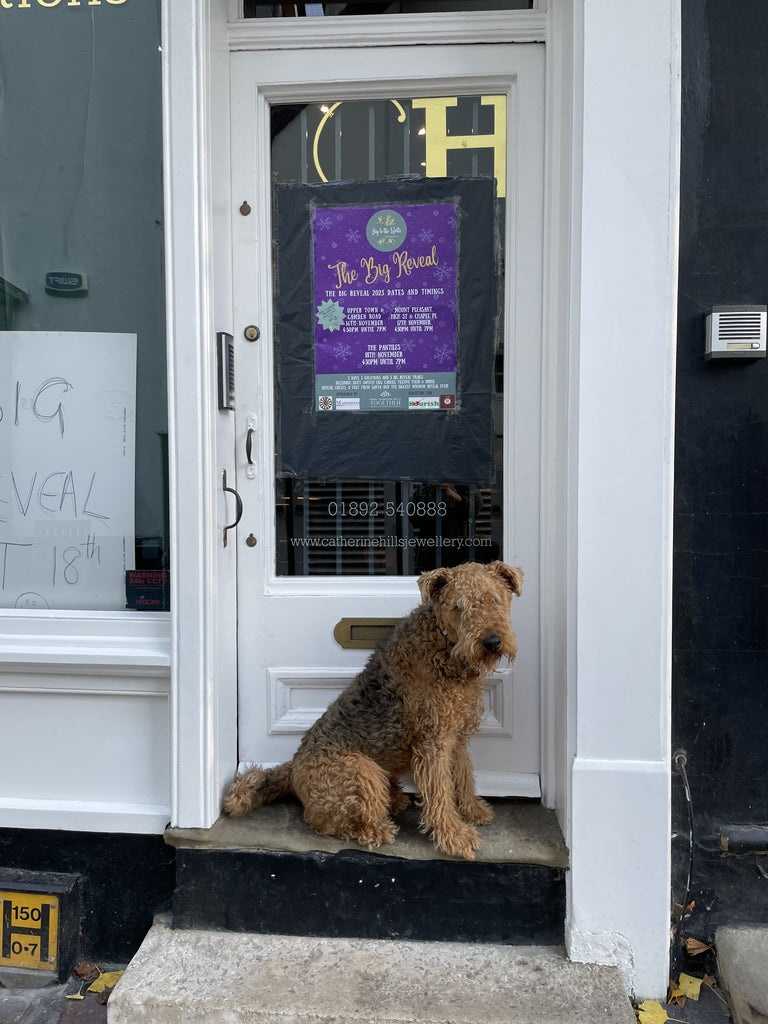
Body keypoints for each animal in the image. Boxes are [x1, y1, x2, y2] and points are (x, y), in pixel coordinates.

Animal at [222, 561, 524, 856]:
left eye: (495, 598)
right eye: (458, 606)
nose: (492, 642)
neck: (444, 647)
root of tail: (293, 767)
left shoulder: (456, 736)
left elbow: (463, 776)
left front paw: (474, 810)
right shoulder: (433, 742)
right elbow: (440, 794)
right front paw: (456, 837)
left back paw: (397, 799)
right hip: (362, 771)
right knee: (331, 822)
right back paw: (379, 830)